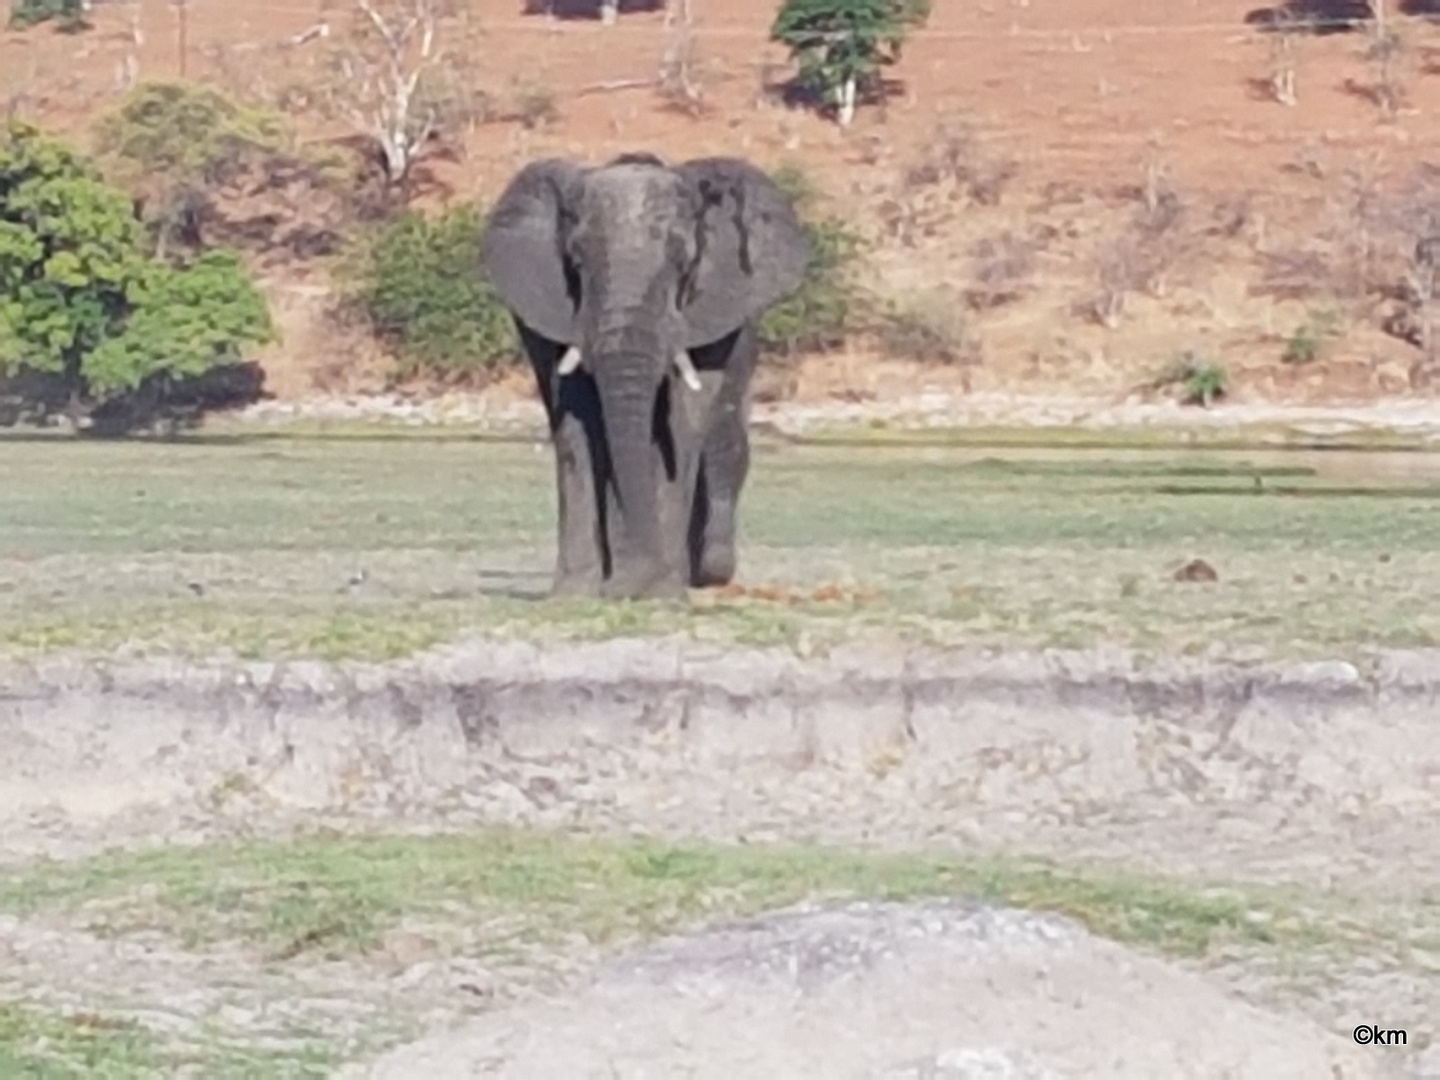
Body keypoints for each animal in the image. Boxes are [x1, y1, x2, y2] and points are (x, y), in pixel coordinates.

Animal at [483, 151, 812, 601]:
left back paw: (707, 573)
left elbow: (682, 421)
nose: (625, 588)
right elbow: (577, 423)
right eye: (577, 261)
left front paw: (657, 593)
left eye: (683, 262)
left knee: (727, 440)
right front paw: (576, 596)